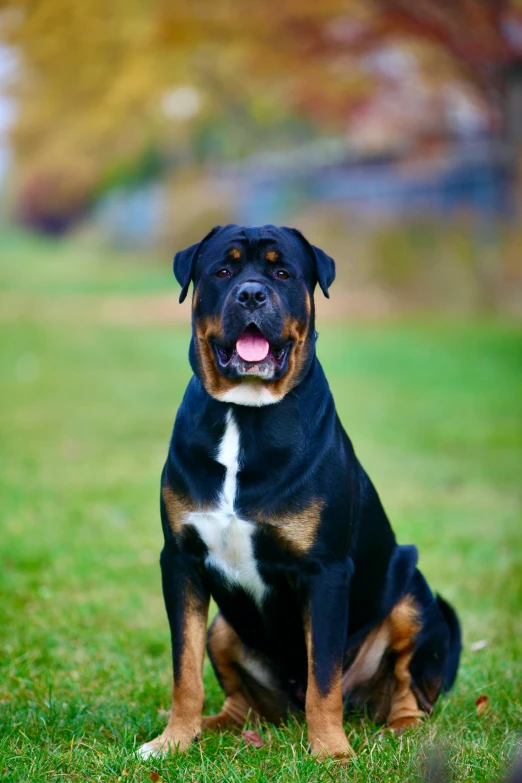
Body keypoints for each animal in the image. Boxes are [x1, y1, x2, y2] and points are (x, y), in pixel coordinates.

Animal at [138, 224, 460, 764]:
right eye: (222, 270)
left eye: (283, 272)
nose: (251, 294)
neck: (244, 415)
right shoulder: (181, 561)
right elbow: (185, 670)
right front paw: (173, 740)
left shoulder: (325, 571)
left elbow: (323, 677)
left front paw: (330, 752)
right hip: (223, 628)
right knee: (242, 702)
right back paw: (212, 727)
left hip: (412, 595)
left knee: (406, 686)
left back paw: (401, 732)